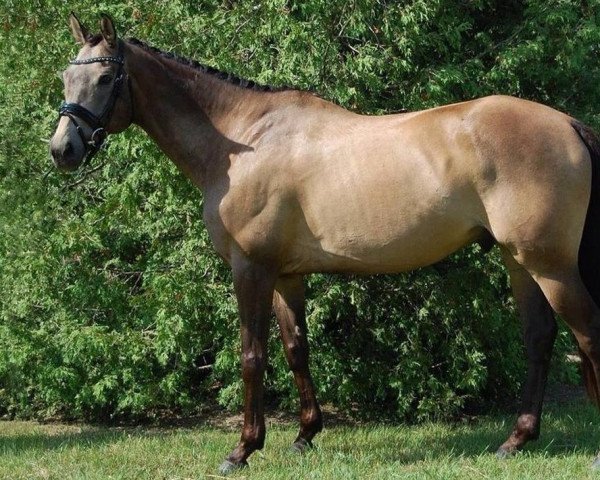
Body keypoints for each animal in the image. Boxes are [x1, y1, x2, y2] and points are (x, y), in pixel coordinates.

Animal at [49, 13, 600, 474]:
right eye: (66, 78)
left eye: (105, 79)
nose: (62, 149)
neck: (242, 141)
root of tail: (569, 123)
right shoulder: (287, 275)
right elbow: (297, 348)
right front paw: (304, 435)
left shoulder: (251, 268)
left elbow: (253, 355)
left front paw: (242, 449)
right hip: (520, 261)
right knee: (539, 338)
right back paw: (515, 440)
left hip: (550, 265)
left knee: (588, 333)